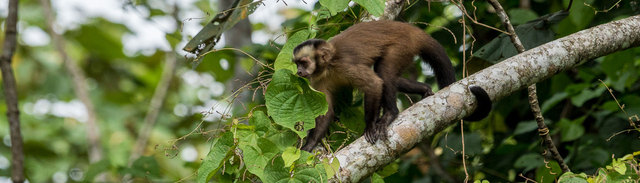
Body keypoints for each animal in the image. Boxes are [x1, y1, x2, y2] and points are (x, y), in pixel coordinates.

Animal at [292, 20, 492, 152]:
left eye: (304, 62)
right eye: (297, 64)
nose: (299, 72)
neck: (328, 67)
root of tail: (411, 29)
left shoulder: (344, 65)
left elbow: (373, 84)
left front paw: (370, 127)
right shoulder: (316, 80)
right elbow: (325, 112)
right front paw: (310, 144)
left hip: (403, 45)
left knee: (384, 72)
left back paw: (390, 114)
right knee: (389, 77)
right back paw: (425, 89)